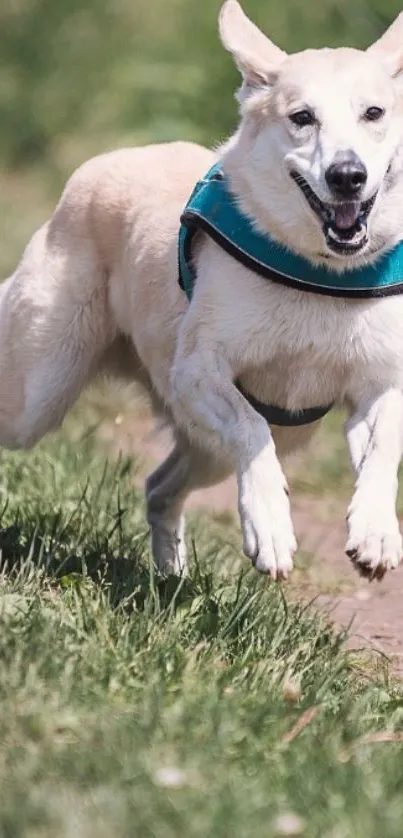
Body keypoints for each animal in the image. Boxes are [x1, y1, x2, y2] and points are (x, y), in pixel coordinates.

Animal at [2, 0, 403, 580]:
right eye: (302, 117)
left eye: (374, 113)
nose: (346, 175)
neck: (320, 272)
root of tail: (103, 163)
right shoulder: (198, 370)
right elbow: (251, 428)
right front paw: (271, 529)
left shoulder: (377, 384)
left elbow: (383, 447)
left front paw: (375, 533)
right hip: (36, 394)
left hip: (217, 446)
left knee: (158, 487)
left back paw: (170, 575)